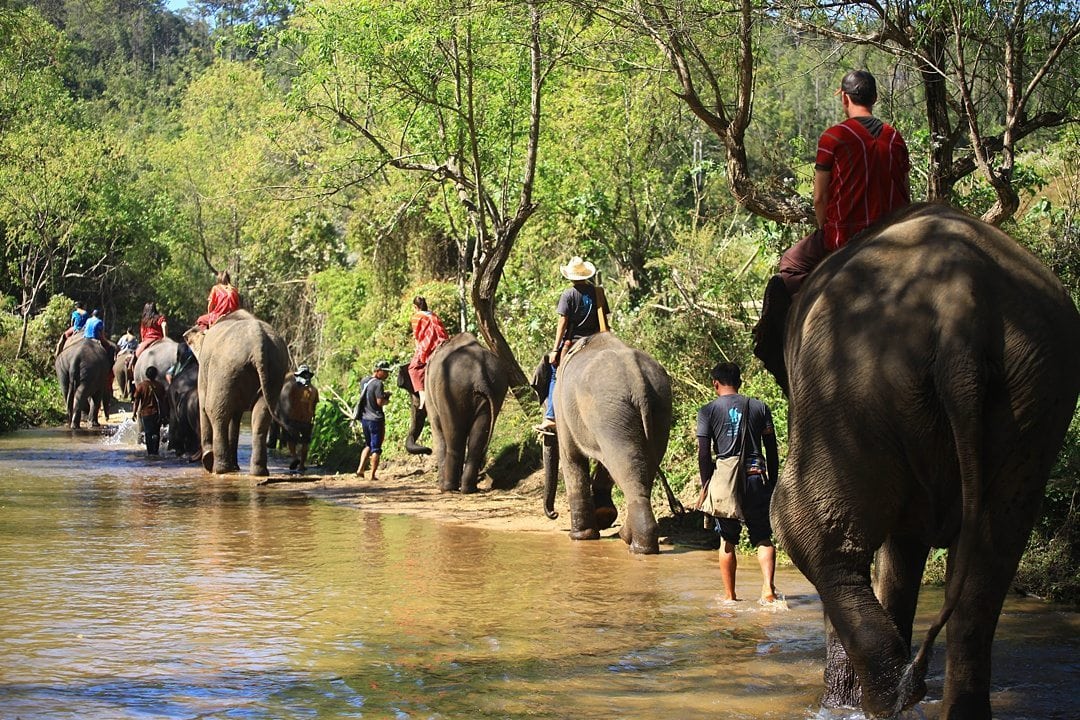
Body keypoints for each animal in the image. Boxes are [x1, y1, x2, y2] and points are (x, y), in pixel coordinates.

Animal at [185, 310, 289, 474]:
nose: (184, 336)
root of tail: (258, 341)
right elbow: (236, 415)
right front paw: (235, 467)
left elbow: (204, 405)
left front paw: (208, 460)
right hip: (274, 370)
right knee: (260, 417)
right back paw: (257, 472)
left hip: (225, 368)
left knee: (216, 412)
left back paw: (219, 469)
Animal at [423, 334, 507, 492]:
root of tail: (479, 373)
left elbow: (436, 428)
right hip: (495, 389)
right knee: (477, 440)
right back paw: (468, 488)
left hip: (451, 393)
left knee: (454, 436)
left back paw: (448, 487)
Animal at [548, 334, 665, 557]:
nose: (554, 514)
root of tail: (638, 380)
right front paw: (603, 516)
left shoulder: (562, 407)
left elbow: (572, 458)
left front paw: (579, 537)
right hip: (654, 408)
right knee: (642, 466)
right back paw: (630, 538)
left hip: (610, 411)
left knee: (624, 466)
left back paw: (636, 546)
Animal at [756, 204, 1080, 720]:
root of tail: (959, 309)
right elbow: (906, 548)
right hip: (1038, 389)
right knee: (991, 559)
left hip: (850, 386)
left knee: (808, 532)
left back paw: (887, 700)